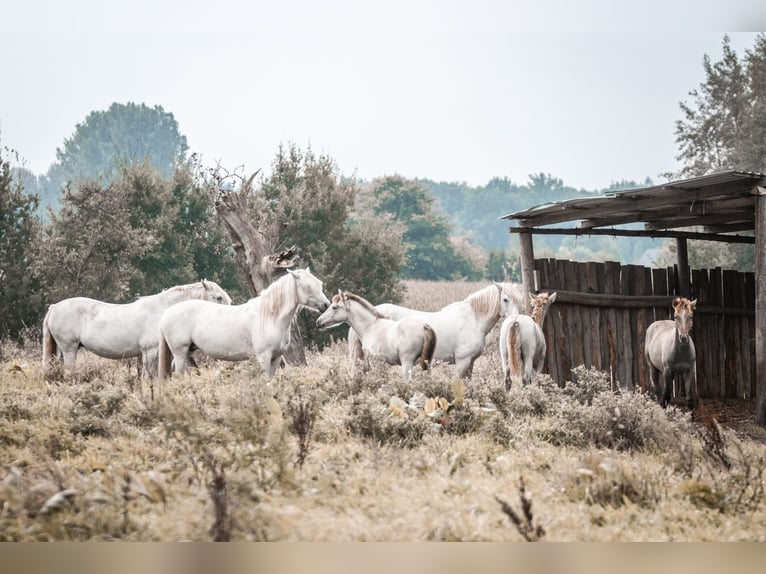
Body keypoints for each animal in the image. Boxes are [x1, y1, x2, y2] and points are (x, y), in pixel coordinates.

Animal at [41, 282, 232, 380]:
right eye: (218, 297)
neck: (162, 311)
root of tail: (54, 307)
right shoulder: (150, 352)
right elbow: (149, 376)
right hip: (69, 349)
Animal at [159, 270, 330, 382]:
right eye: (307, 287)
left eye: (320, 284)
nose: (326, 305)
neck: (269, 316)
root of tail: (167, 312)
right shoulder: (263, 357)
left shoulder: (276, 358)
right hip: (180, 352)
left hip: (187, 351)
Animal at [346, 284, 520, 382]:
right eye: (505, 299)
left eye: (519, 299)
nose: (515, 319)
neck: (473, 319)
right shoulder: (462, 361)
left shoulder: (470, 363)